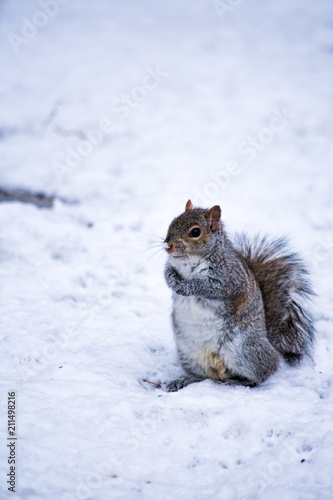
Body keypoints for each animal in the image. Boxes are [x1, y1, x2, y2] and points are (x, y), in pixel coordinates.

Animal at [163, 199, 314, 390]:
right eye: (173, 221)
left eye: (195, 232)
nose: (167, 245)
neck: (189, 260)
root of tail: (270, 344)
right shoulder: (172, 264)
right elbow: (167, 271)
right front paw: (171, 279)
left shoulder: (231, 278)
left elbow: (210, 287)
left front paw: (187, 287)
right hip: (188, 353)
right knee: (202, 375)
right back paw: (185, 379)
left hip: (246, 350)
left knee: (263, 372)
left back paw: (237, 381)